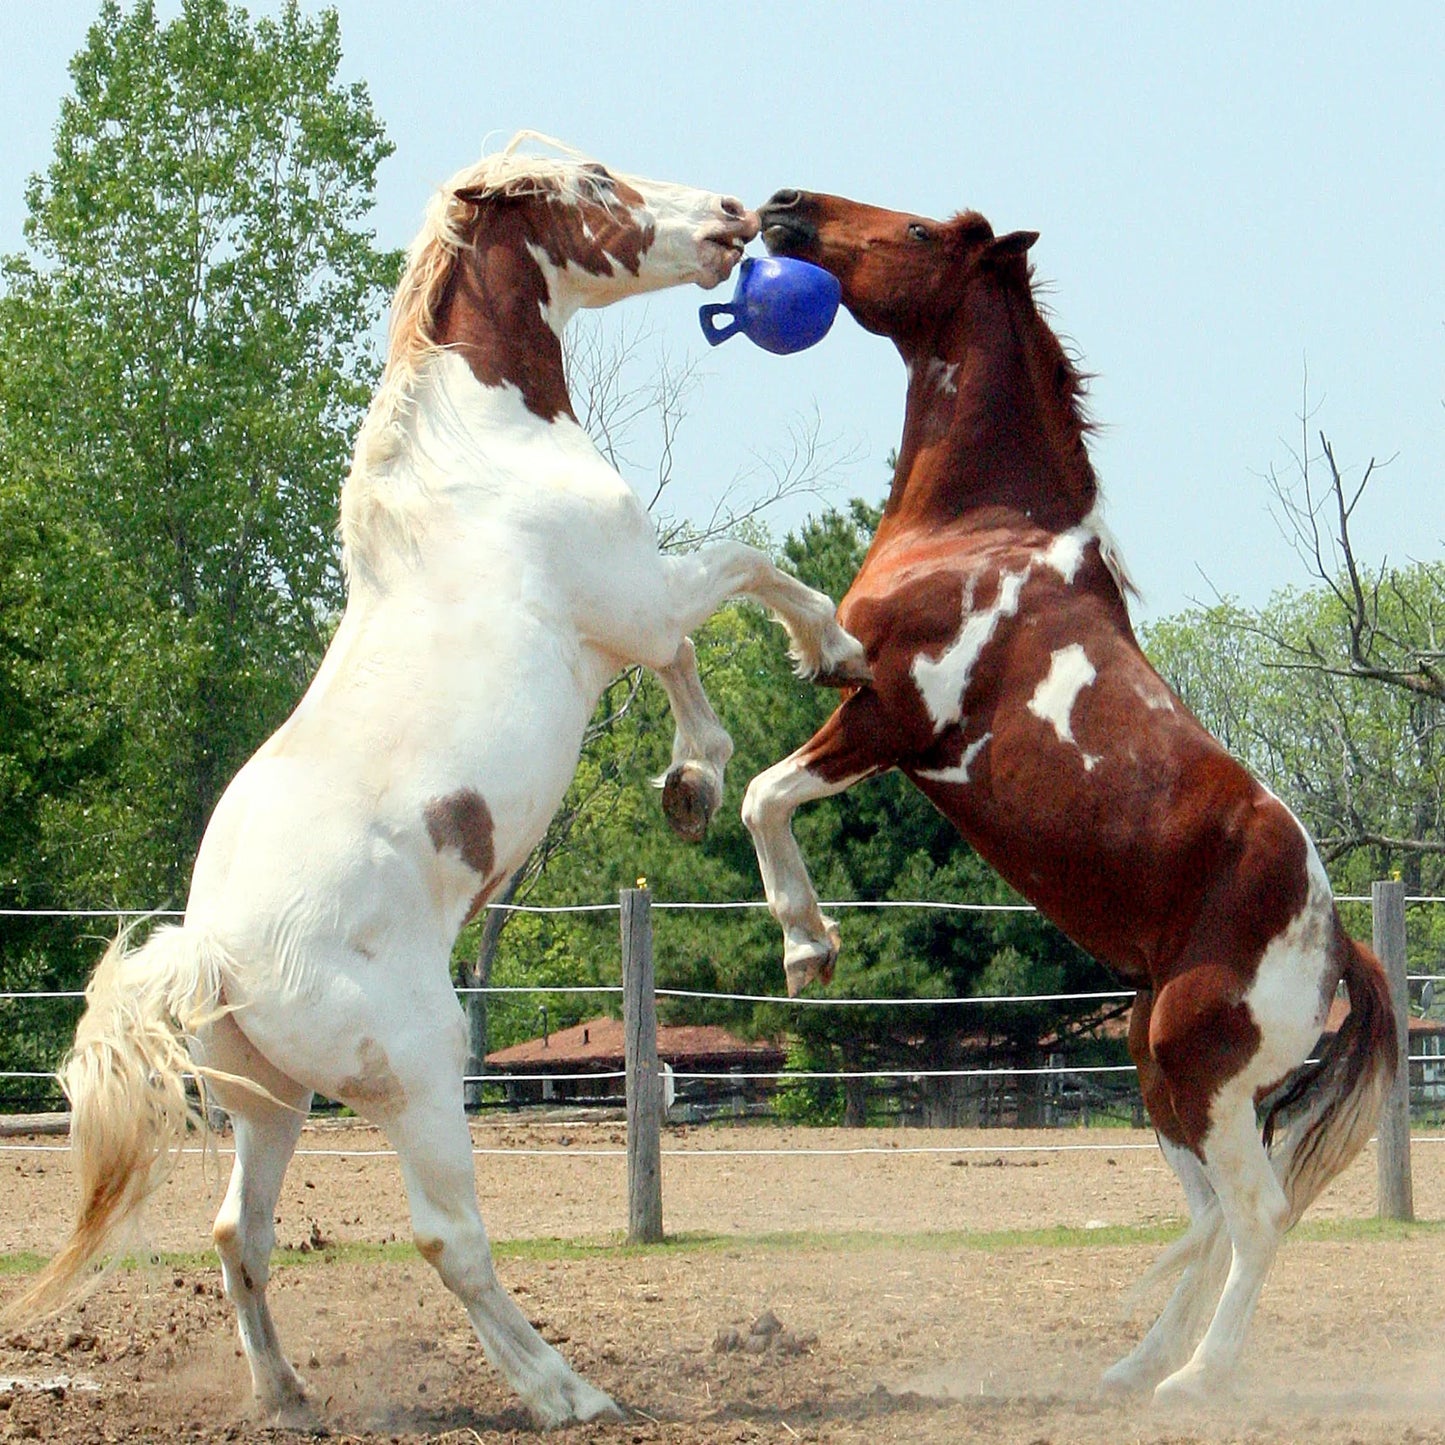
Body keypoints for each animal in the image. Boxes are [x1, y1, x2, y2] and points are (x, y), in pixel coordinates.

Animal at [8, 140, 867, 1427]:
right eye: (594, 180)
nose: (732, 215)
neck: (482, 454)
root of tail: (209, 951)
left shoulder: (632, 618)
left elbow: (690, 665)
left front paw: (691, 783)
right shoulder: (637, 596)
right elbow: (746, 573)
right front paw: (831, 656)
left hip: (269, 1102)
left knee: (238, 1231)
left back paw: (289, 1396)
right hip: (420, 1076)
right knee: (445, 1237)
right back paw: (568, 1392)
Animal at [745, 189, 1398, 1398]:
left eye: (915, 232)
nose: (783, 207)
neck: (979, 532)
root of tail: (1337, 942)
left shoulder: (889, 720)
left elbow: (764, 794)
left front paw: (807, 947)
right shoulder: (859, 702)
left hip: (1198, 1072)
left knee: (1257, 1215)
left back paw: (1196, 1382)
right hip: (1159, 1072)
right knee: (1211, 1218)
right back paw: (1131, 1370)